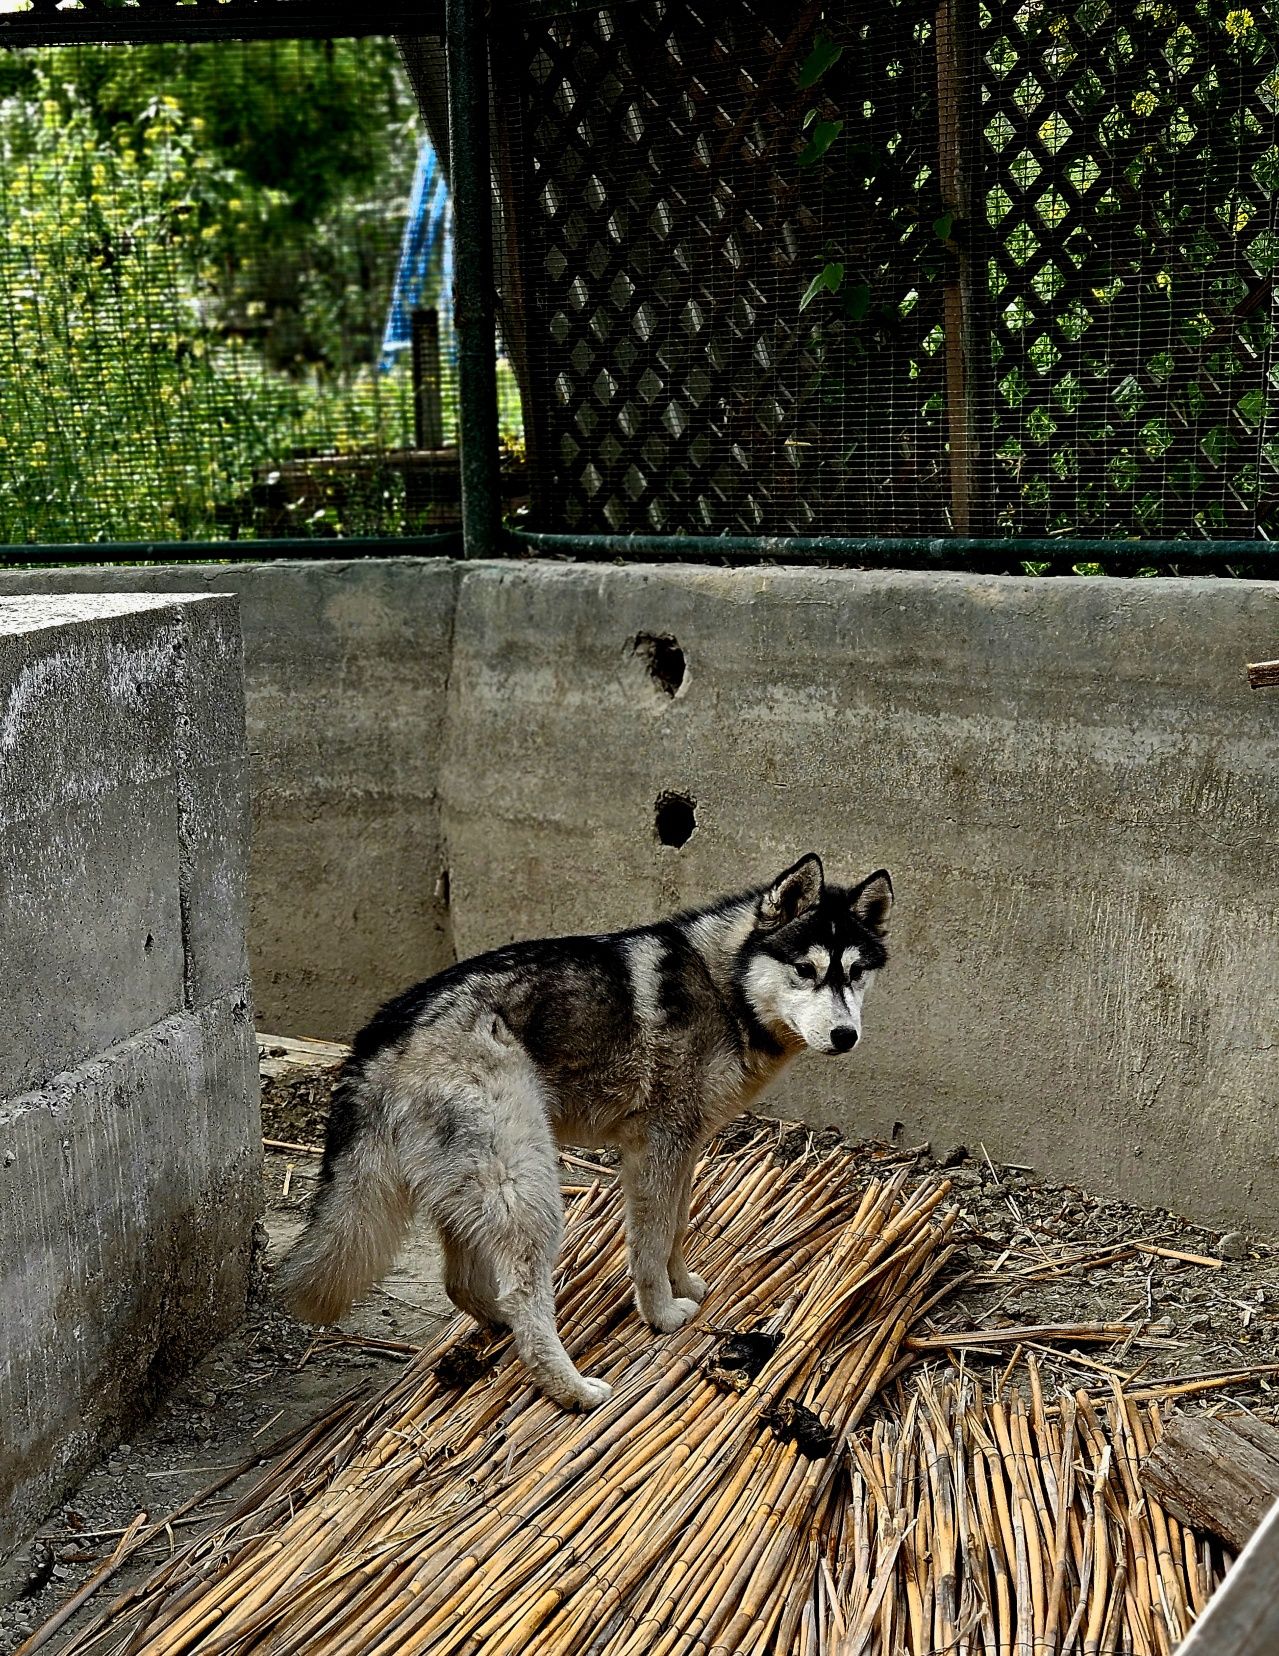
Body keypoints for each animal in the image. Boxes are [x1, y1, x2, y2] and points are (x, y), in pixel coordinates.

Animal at [281, 854, 888, 1410]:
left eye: (855, 973)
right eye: (805, 970)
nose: (846, 1035)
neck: (726, 989)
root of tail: (381, 1033)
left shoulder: (683, 1149)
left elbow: (677, 1228)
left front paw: (683, 1285)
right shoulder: (656, 1148)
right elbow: (649, 1245)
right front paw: (661, 1315)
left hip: (479, 1191)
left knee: (463, 1285)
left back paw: (502, 1329)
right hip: (533, 1189)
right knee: (523, 1299)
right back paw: (571, 1389)